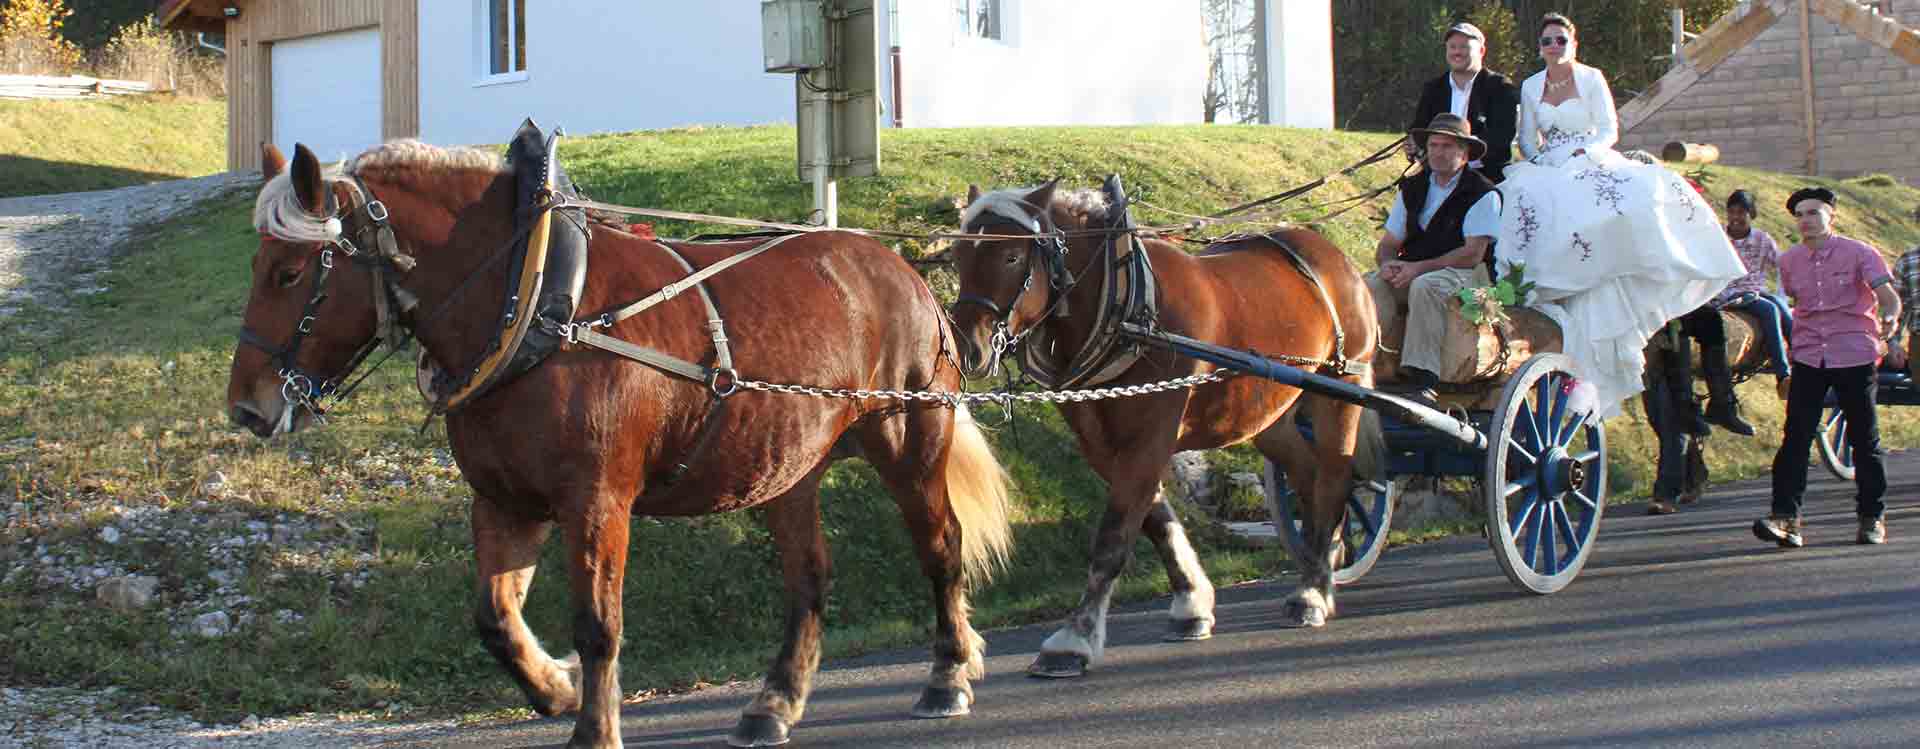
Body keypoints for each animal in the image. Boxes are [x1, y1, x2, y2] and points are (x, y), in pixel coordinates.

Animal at [230, 142, 1013, 749]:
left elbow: (598, 622)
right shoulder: (508, 501)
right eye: (260, 267)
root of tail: (901, 269)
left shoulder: (597, 500)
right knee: (809, 578)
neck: (537, 303)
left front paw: (593, 725)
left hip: (910, 437)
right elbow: (495, 615)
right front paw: (555, 686)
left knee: (941, 545)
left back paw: (947, 673)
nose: (248, 405)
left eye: (290, 273)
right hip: (787, 468)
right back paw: (774, 703)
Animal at [948, 181, 1382, 679]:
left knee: (1334, 476)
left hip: (1342, 387)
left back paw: (1314, 591)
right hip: (1270, 411)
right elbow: (1154, 518)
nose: (968, 347)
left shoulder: (1152, 431)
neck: (1127, 307)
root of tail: (1334, 256)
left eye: (1012, 256)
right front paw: (1192, 603)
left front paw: (1074, 638)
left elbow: (1115, 534)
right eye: (959, 254)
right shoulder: (1100, 441)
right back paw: (1322, 564)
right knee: (1307, 474)